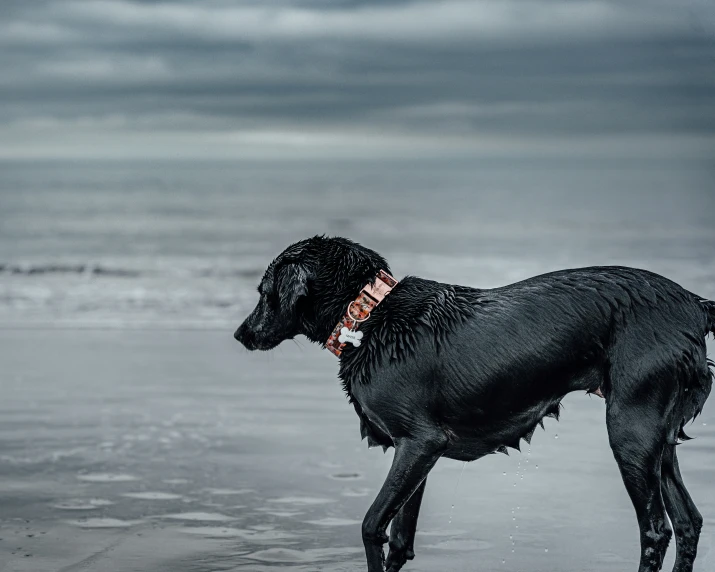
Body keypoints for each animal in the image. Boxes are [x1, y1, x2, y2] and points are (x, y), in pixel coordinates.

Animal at [236, 233, 715, 572]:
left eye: (263, 291)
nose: (240, 334)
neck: (370, 318)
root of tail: (694, 303)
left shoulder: (420, 443)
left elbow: (373, 527)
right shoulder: (416, 456)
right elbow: (400, 543)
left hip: (631, 431)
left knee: (655, 531)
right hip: (658, 438)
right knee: (688, 522)